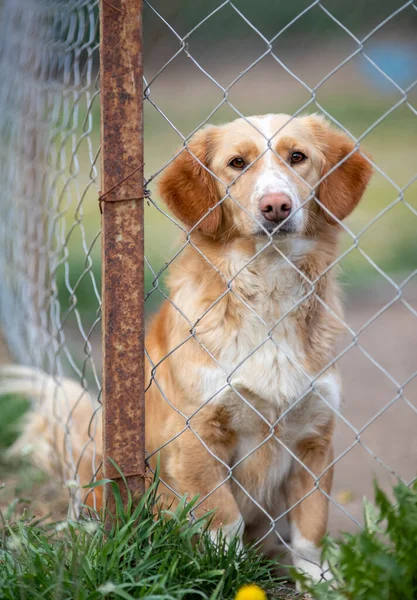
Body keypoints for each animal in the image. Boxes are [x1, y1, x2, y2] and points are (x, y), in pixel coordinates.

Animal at [1, 113, 372, 584]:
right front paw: (228, 572)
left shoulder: (314, 439)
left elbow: (311, 526)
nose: (276, 206)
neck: (268, 291)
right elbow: (224, 518)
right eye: (237, 163)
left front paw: (319, 581)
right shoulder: (198, 436)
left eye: (298, 157)